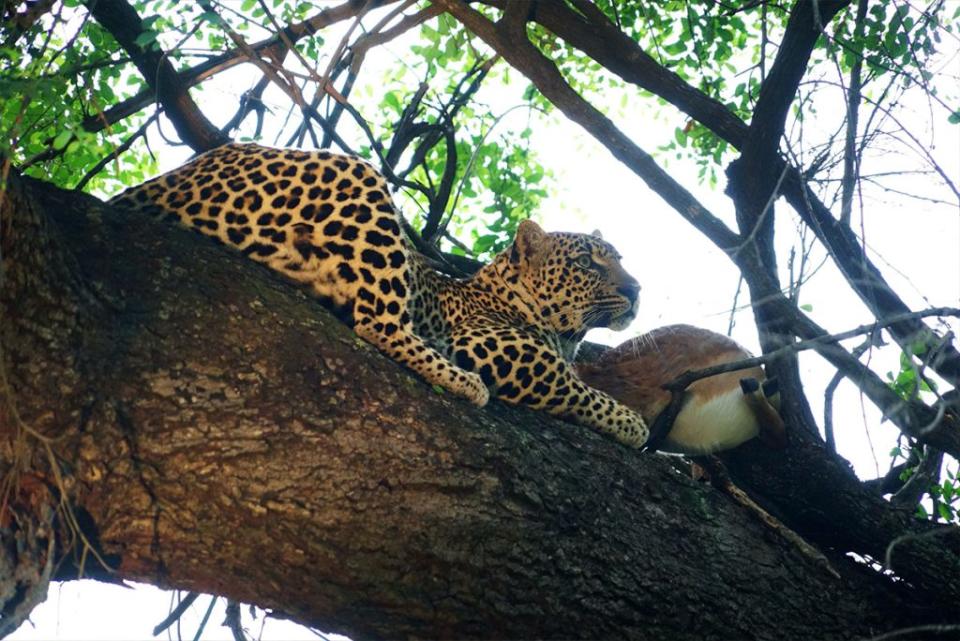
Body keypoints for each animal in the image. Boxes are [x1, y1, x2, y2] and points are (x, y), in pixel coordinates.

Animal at [110, 142, 652, 448]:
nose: (636, 288)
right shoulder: (489, 346)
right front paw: (633, 424)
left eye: (620, 258)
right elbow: (575, 387)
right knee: (378, 323)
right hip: (359, 178)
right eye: (588, 263)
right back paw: (461, 381)